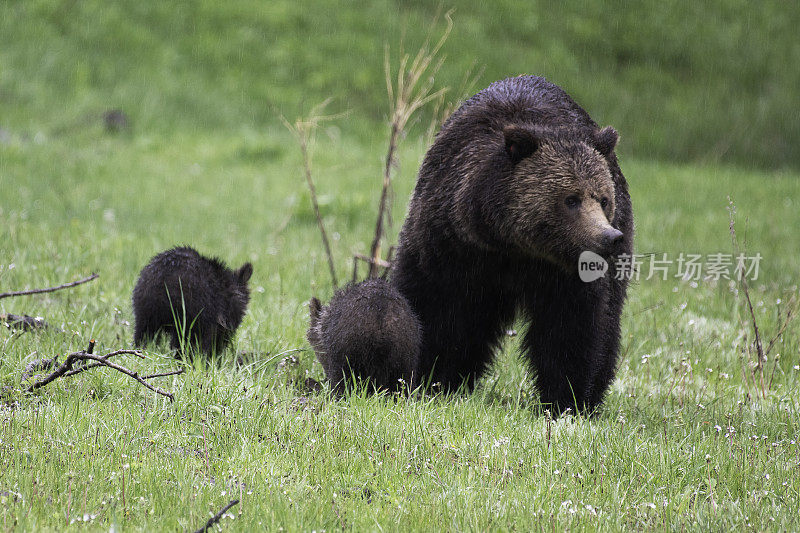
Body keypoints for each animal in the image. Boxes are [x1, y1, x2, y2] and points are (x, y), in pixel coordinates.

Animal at [390, 75, 636, 414]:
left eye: (602, 199)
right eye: (571, 199)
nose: (608, 237)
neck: (511, 245)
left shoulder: (566, 277)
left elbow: (572, 329)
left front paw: (567, 399)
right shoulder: (448, 244)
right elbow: (435, 307)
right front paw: (430, 378)